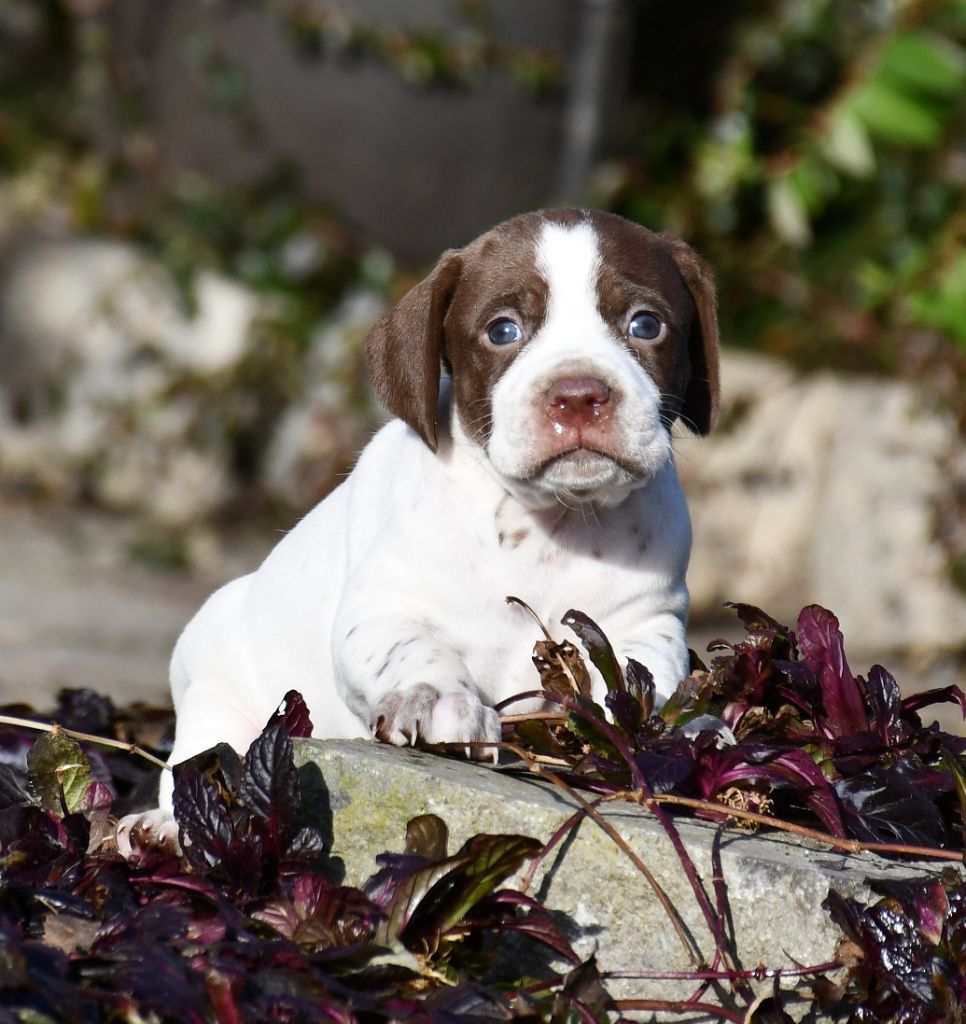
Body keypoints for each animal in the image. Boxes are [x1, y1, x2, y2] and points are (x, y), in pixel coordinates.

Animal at [115, 207, 717, 856]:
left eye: (646, 324)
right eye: (503, 331)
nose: (579, 395)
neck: (552, 523)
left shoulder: (648, 621)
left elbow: (638, 677)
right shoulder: (381, 611)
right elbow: (417, 650)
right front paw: (440, 702)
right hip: (214, 693)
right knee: (200, 766)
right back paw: (164, 826)